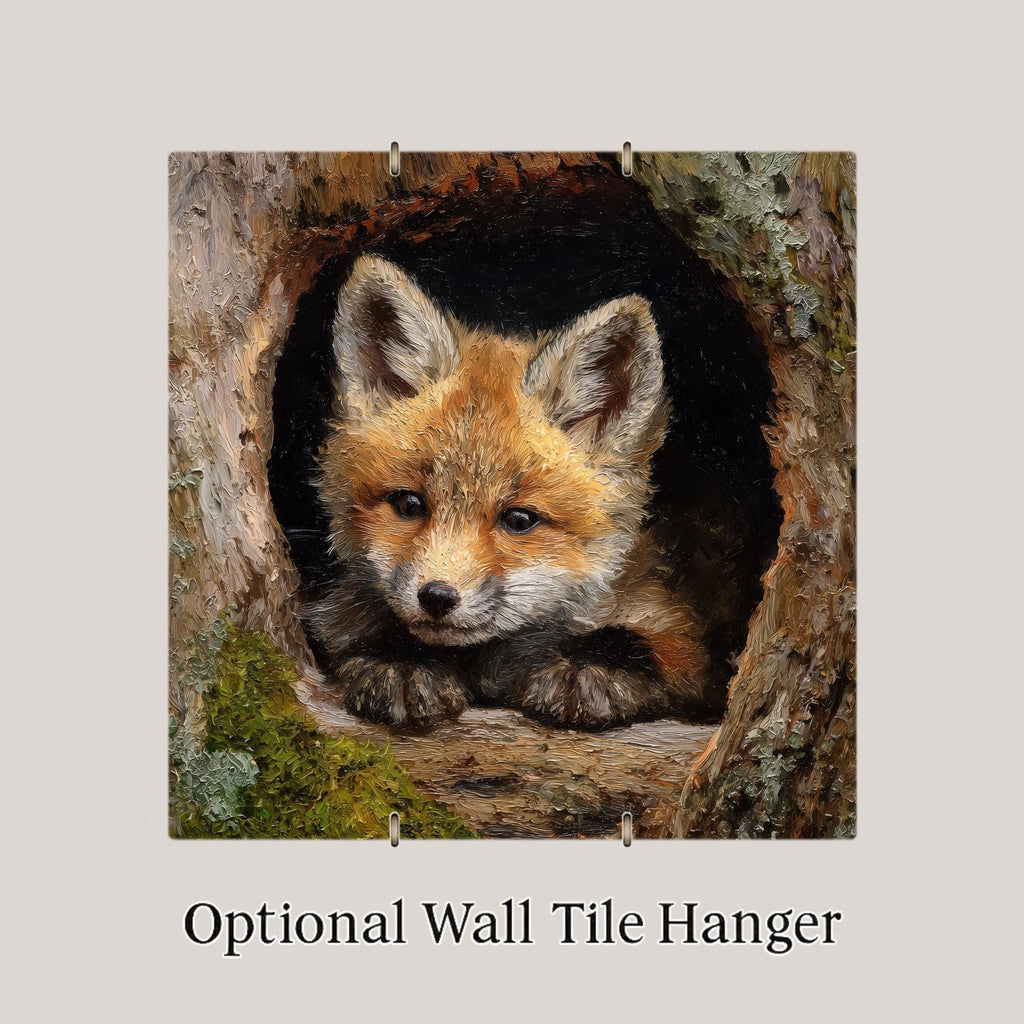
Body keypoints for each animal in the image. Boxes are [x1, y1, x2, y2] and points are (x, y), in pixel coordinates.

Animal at [306, 254, 711, 730]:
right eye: (409, 504)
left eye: (519, 520)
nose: (437, 597)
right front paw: (402, 661)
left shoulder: (668, 619)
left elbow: (646, 642)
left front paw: (591, 665)